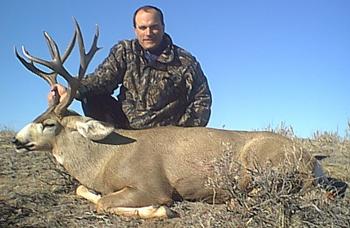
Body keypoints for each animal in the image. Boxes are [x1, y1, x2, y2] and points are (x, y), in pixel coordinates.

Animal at [11, 20, 342, 219]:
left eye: (49, 123)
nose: (16, 140)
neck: (105, 160)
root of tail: (312, 161)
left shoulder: (151, 184)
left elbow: (107, 202)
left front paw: (158, 212)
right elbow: (82, 190)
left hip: (263, 161)